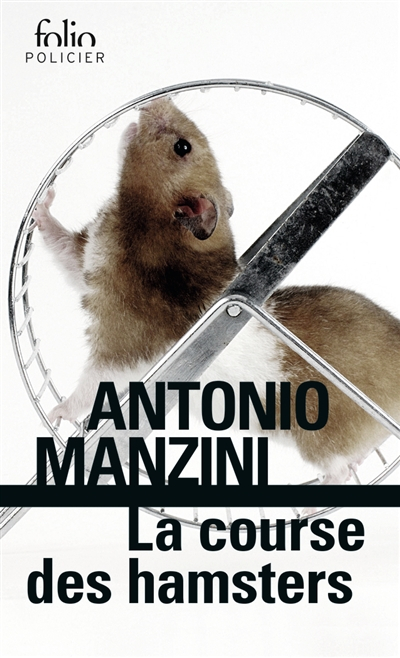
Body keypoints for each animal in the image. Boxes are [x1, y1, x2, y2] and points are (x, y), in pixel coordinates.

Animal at [34, 97, 400, 486]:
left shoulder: (124, 343)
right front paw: (44, 203)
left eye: (182, 147)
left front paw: (56, 413)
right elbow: (63, 247)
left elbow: (92, 383)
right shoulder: (87, 263)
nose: (159, 100)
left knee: (339, 468)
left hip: (321, 435)